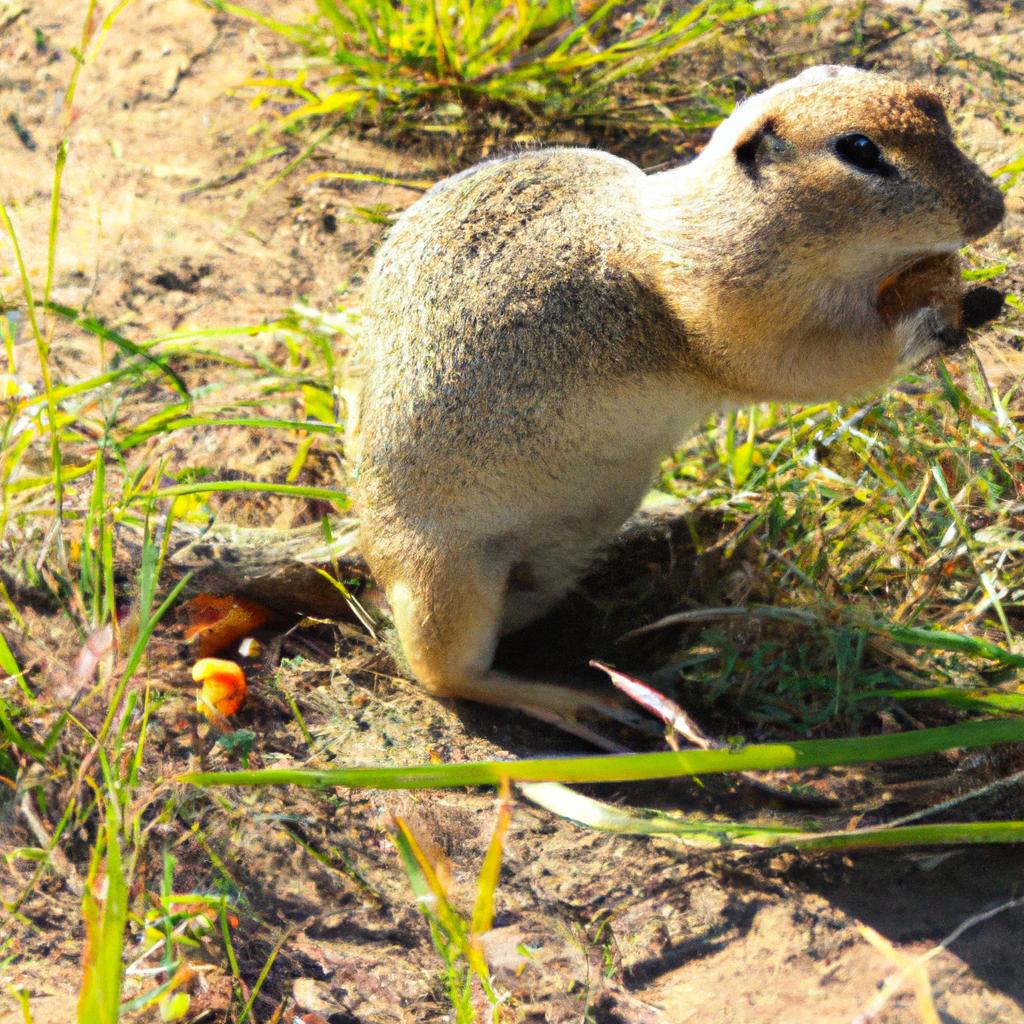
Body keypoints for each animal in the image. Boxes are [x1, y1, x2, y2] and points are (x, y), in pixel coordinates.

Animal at [352, 64, 1007, 737]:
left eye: (933, 105)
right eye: (859, 149)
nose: (994, 209)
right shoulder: (731, 311)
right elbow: (819, 364)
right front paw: (944, 307)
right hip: (448, 574)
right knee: (442, 673)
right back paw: (588, 702)